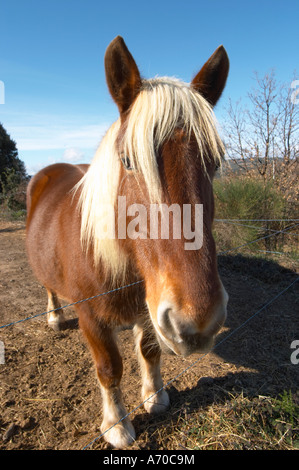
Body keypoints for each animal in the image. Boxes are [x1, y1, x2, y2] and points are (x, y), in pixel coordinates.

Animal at [27, 35, 231, 448]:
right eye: (128, 161)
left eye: (215, 163)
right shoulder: (91, 318)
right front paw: (117, 425)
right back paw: (55, 316)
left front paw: (155, 397)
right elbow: (109, 368)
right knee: (49, 287)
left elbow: (150, 351)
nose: (198, 322)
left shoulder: (149, 312)